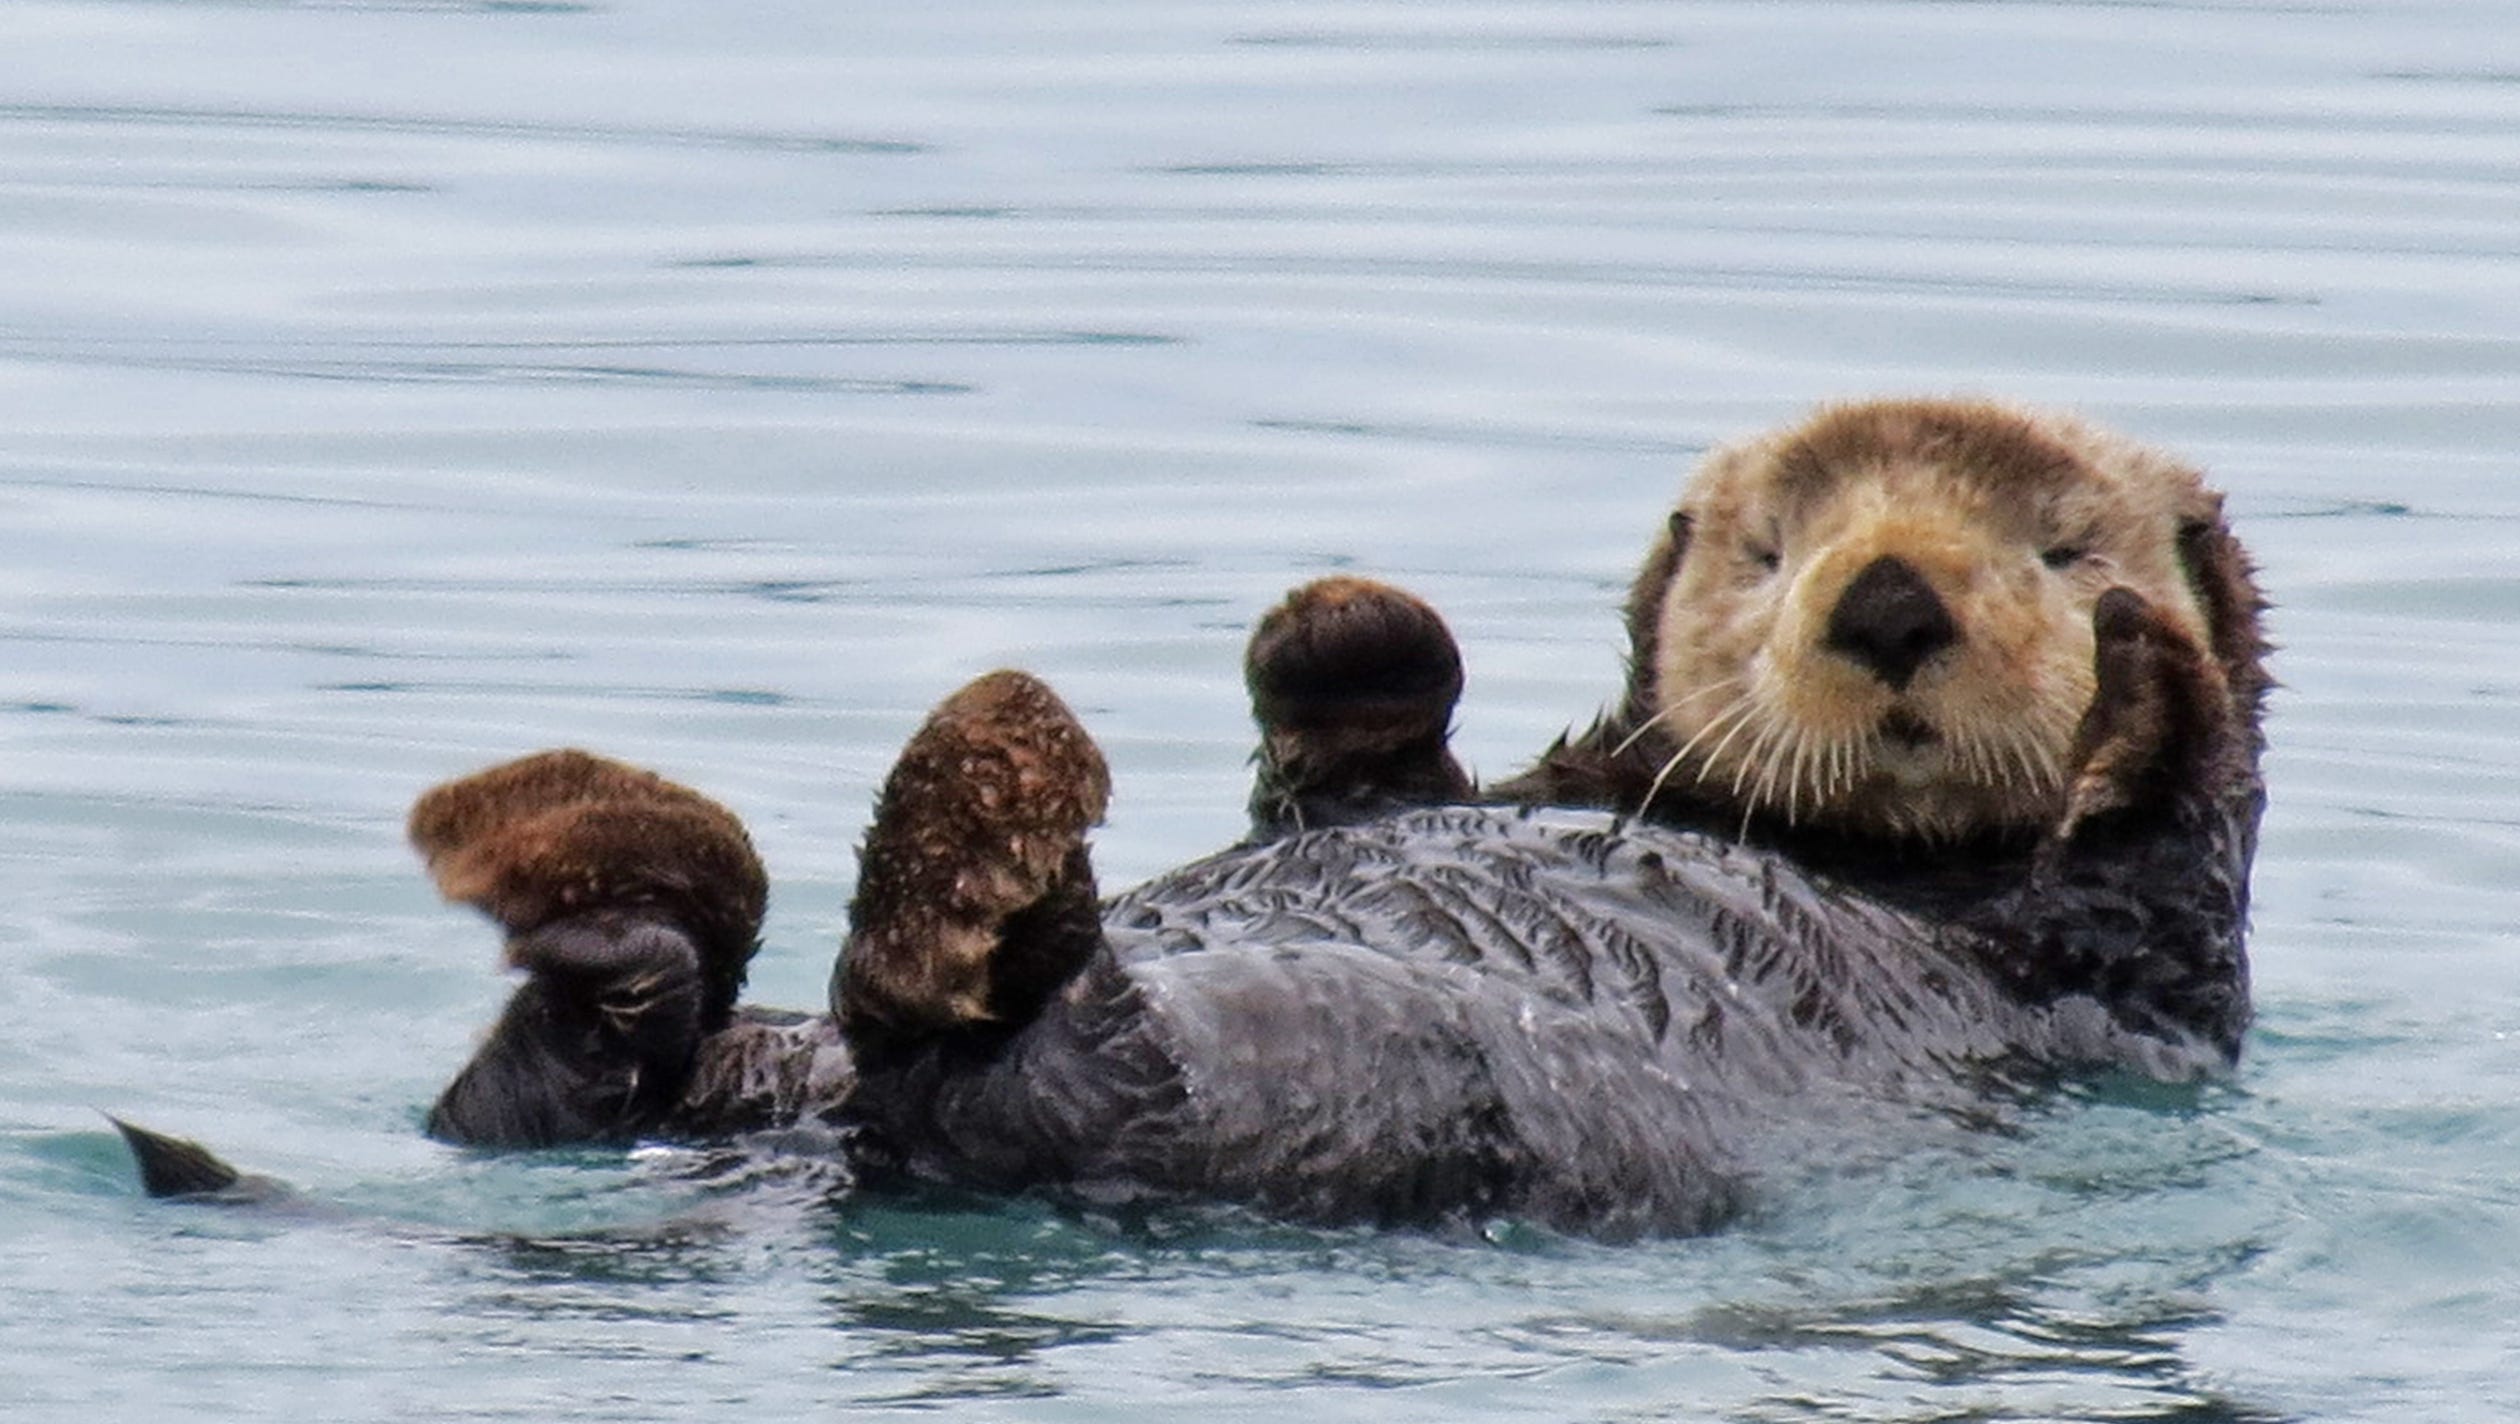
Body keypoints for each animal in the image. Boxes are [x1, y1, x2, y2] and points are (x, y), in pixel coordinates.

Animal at [125, 398, 2266, 1241]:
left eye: (2062, 545)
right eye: (1769, 544)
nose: (1884, 597)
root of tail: (823, 1152)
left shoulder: (2129, 960)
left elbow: (2164, 834)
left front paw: (2149, 674)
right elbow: (1360, 760)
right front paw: (1351, 623)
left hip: (1310, 1083)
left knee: (1009, 1041)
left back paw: (964, 829)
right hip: (750, 1068)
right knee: (580, 1067)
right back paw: (601, 871)